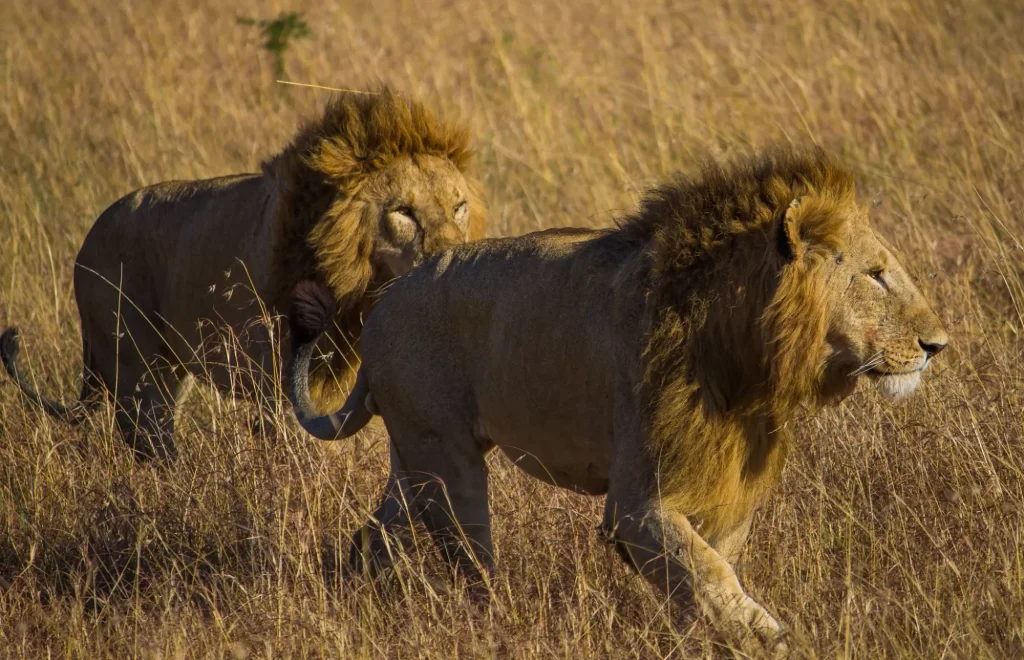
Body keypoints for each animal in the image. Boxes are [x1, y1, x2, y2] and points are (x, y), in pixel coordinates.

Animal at [0, 86, 487, 458]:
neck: (357, 286)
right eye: (403, 212)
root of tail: (88, 239)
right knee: (149, 440)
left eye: (458, 207)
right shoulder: (278, 382)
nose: (452, 262)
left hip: (169, 368)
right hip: (135, 365)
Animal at [284, 146, 946, 646]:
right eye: (876, 274)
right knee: (473, 563)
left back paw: (350, 600)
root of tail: (380, 308)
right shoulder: (636, 502)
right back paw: (497, 623)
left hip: (415, 454)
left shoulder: (728, 483)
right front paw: (769, 637)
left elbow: (709, 572)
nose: (938, 344)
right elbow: (708, 573)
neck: (749, 358)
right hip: (449, 464)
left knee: (374, 535)